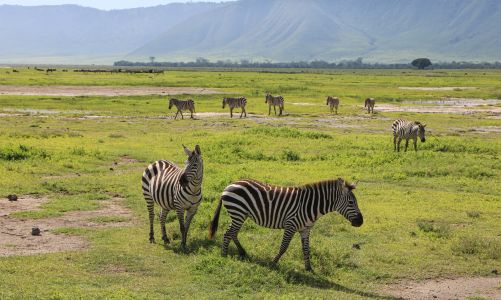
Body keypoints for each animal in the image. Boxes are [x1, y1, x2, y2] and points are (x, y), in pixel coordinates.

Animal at [208, 178, 364, 272]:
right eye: (351, 202)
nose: (361, 222)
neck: (310, 205)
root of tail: (230, 184)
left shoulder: (305, 229)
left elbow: (306, 249)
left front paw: (309, 268)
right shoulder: (290, 225)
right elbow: (283, 247)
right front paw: (273, 263)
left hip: (240, 214)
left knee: (233, 233)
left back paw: (242, 252)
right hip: (238, 212)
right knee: (228, 233)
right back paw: (224, 255)